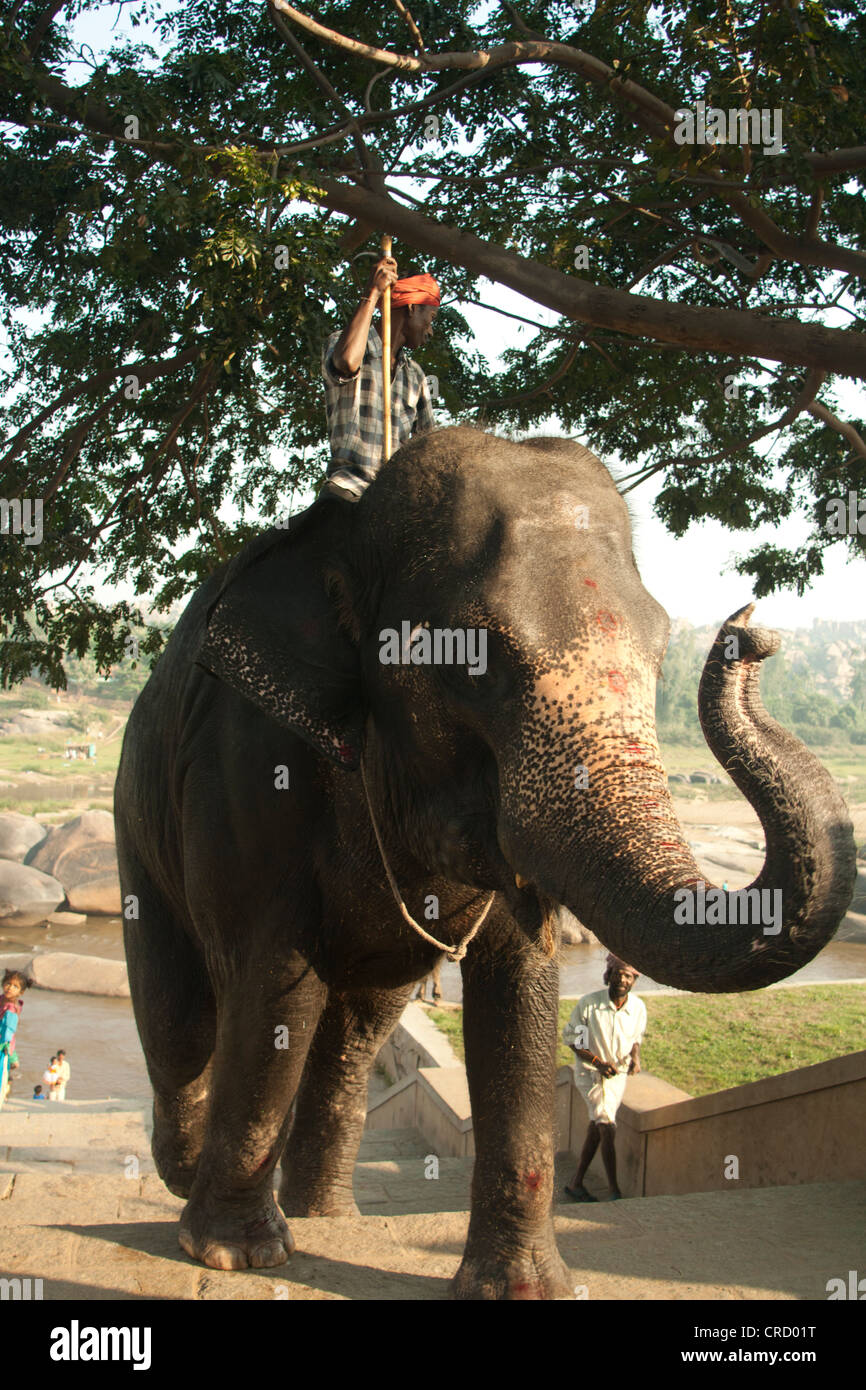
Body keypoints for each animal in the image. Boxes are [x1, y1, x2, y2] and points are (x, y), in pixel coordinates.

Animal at [114, 425, 856, 1300]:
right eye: (475, 662)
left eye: (662, 649)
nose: (749, 627)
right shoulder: (247, 762)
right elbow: (273, 975)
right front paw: (233, 1255)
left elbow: (521, 984)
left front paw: (524, 1287)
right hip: (136, 809)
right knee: (180, 1013)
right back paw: (185, 1175)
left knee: (360, 1020)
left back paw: (327, 1214)